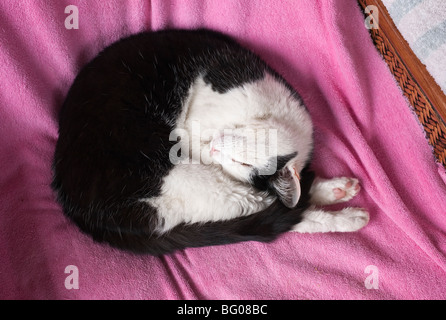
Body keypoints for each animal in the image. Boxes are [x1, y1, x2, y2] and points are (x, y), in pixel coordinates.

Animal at [51, 28, 370, 256]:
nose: (214, 146)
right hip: (177, 176)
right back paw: (348, 213)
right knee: (275, 213)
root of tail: (82, 215)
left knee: (275, 211)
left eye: (241, 162)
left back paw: (340, 195)